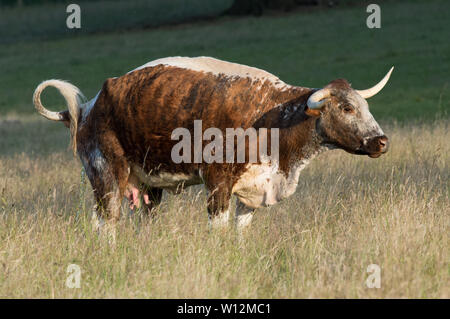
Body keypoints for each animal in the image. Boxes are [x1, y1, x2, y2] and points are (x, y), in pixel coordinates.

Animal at [32, 56, 394, 240]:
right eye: (347, 108)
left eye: (364, 106)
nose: (381, 141)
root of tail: (87, 107)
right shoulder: (217, 184)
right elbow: (217, 232)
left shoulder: (252, 190)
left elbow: (239, 233)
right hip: (106, 177)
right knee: (104, 226)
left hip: (148, 188)